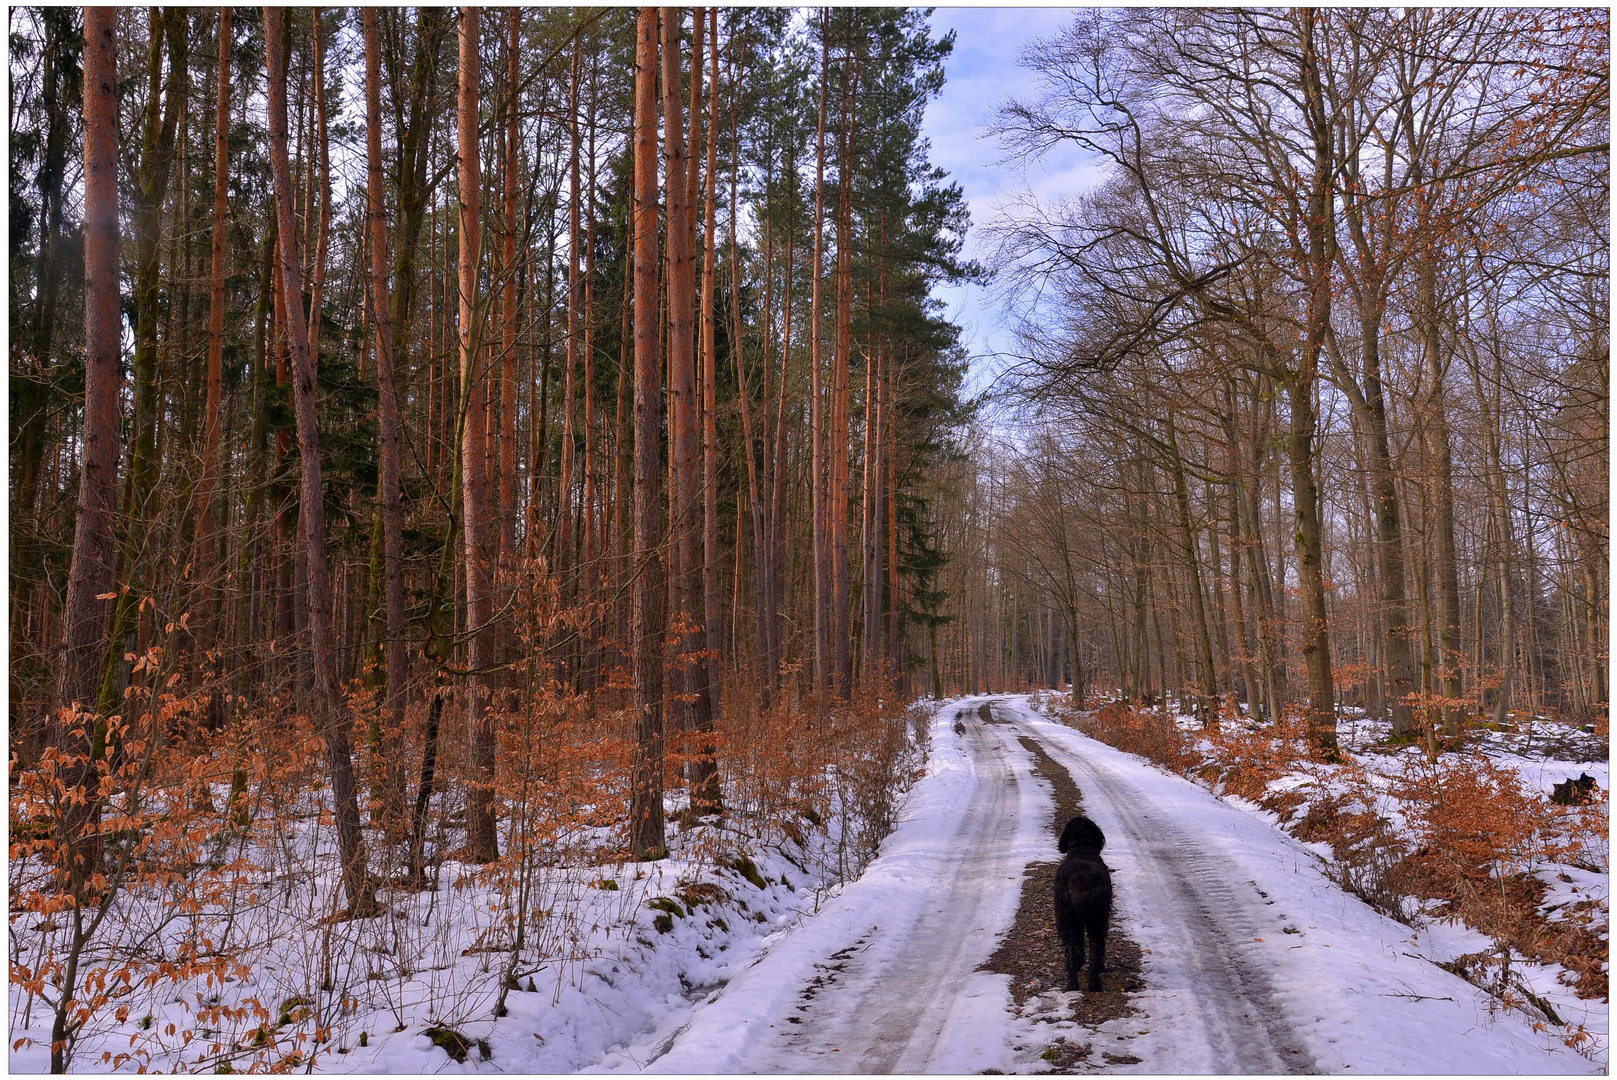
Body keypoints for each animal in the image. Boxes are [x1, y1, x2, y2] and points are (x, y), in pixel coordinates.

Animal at [1047, 814, 1112, 989]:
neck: (1081, 848)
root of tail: (1079, 879)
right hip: (1096, 920)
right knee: (1095, 953)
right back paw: (1094, 985)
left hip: (1067, 920)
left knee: (1071, 954)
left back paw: (1072, 985)